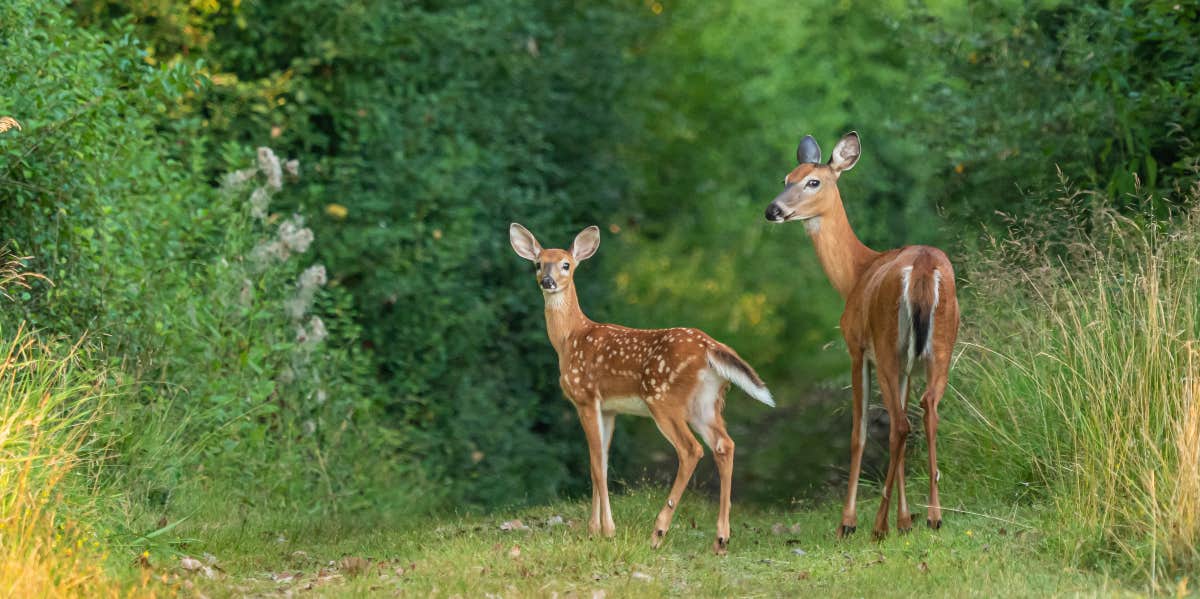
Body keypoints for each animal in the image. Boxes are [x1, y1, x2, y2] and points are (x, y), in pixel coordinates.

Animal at [508, 223, 777, 554]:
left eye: (566, 264)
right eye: (537, 263)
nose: (548, 281)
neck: (570, 338)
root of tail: (711, 347)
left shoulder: (585, 397)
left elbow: (595, 463)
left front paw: (607, 530)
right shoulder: (609, 409)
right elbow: (602, 463)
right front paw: (594, 529)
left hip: (663, 399)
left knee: (691, 449)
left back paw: (658, 531)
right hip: (706, 403)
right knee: (724, 444)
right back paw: (721, 539)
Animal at [763, 133, 960, 542]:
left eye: (813, 181)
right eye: (786, 177)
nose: (772, 210)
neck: (855, 273)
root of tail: (923, 268)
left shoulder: (856, 349)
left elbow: (859, 434)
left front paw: (849, 521)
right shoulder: (906, 366)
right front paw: (905, 520)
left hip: (885, 345)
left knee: (899, 425)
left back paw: (876, 525)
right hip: (940, 347)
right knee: (928, 411)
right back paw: (931, 517)